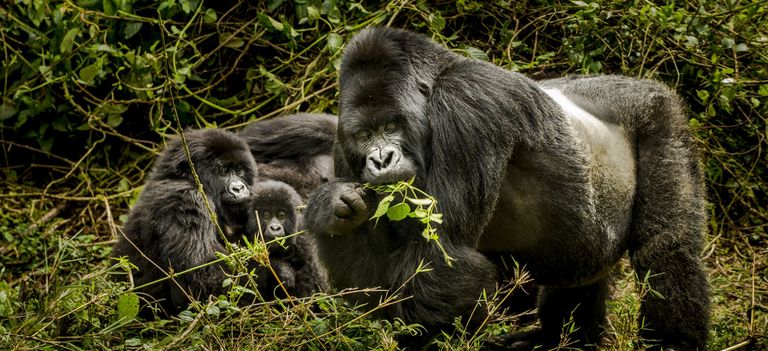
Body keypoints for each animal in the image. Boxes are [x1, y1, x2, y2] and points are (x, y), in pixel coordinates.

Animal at [112, 129, 260, 316]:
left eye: (239, 170)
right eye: (223, 171)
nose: (239, 188)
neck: (184, 178)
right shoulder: (187, 200)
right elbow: (202, 272)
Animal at [304, 26, 712, 350]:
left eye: (391, 125)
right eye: (364, 135)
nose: (381, 159)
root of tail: (642, 83)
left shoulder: (468, 101)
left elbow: (444, 256)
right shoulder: (343, 147)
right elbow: (366, 277)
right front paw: (335, 208)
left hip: (659, 114)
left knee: (666, 248)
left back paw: (672, 342)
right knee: (583, 272)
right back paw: (559, 339)